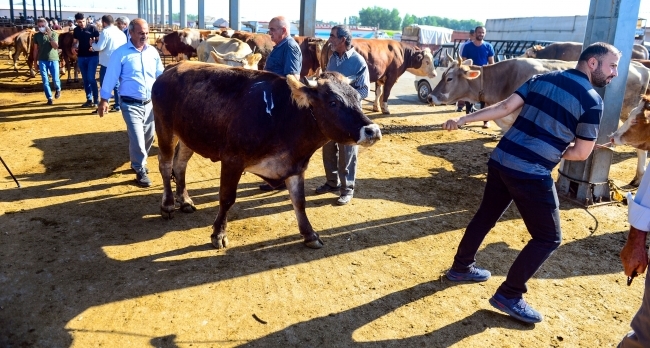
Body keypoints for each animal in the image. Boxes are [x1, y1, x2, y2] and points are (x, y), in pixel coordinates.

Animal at [151, 61, 380, 250]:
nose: (373, 131)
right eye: (333, 102)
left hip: (188, 136)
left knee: (180, 165)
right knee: (166, 165)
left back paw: (185, 200)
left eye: (357, 98)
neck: (283, 116)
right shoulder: (232, 160)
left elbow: (299, 201)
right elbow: (226, 198)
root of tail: (172, 67)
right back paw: (168, 204)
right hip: (165, 128)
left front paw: (310, 234)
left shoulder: (295, 167)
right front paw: (219, 234)